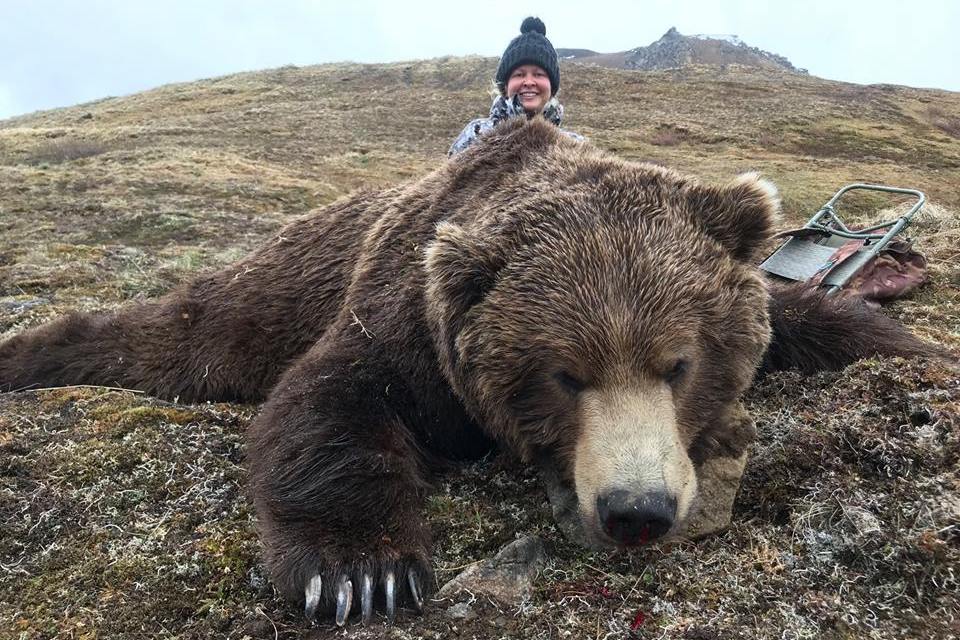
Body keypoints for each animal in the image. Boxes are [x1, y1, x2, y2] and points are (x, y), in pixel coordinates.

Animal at [0, 118, 935, 626]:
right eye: (565, 373)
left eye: (678, 363)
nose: (636, 510)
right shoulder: (406, 320)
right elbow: (323, 402)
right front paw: (363, 573)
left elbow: (805, 318)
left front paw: (911, 347)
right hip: (263, 297)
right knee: (173, 336)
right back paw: (33, 352)